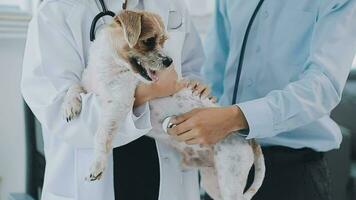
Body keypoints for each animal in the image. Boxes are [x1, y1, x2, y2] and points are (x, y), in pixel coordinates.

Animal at [62, 10, 266, 200]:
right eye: (149, 41)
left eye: (163, 41)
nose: (169, 62)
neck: (109, 69)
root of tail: (247, 137)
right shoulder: (88, 86)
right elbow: (73, 87)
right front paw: (70, 105)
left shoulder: (118, 104)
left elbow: (102, 134)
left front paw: (97, 164)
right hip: (213, 183)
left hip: (230, 180)